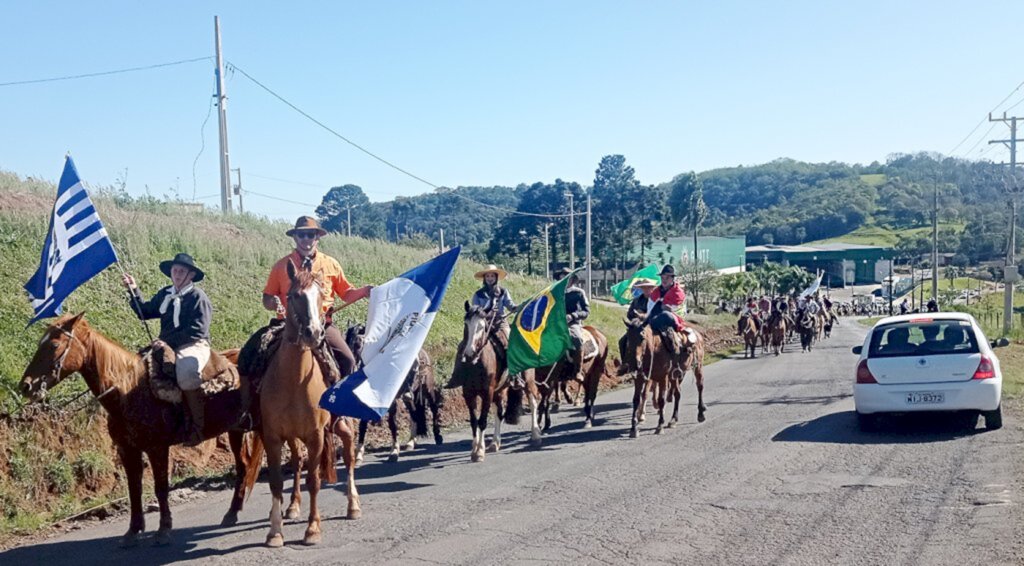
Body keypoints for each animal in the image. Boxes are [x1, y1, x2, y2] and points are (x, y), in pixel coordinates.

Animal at [20, 313, 256, 548]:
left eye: (54, 344)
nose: (26, 386)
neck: (128, 391)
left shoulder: (157, 448)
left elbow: (161, 487)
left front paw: (163, 530)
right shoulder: (128, 450)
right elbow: (134, 489)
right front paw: (133, 531)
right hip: (237, 429)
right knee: (243, 466)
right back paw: (232, 513)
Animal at [243, 264, 360, 548]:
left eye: (322, 295)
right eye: (294, 295)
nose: (314, 333)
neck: (294, 379)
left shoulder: (316, 435)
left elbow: (314, 480)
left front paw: (313, 529)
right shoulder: (273, 435)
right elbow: (276, 481)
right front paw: (275, 532)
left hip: (341, 425)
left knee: (349, 455)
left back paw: (353, 505)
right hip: (293, 436)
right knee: (296, 462)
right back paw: (293, 506)